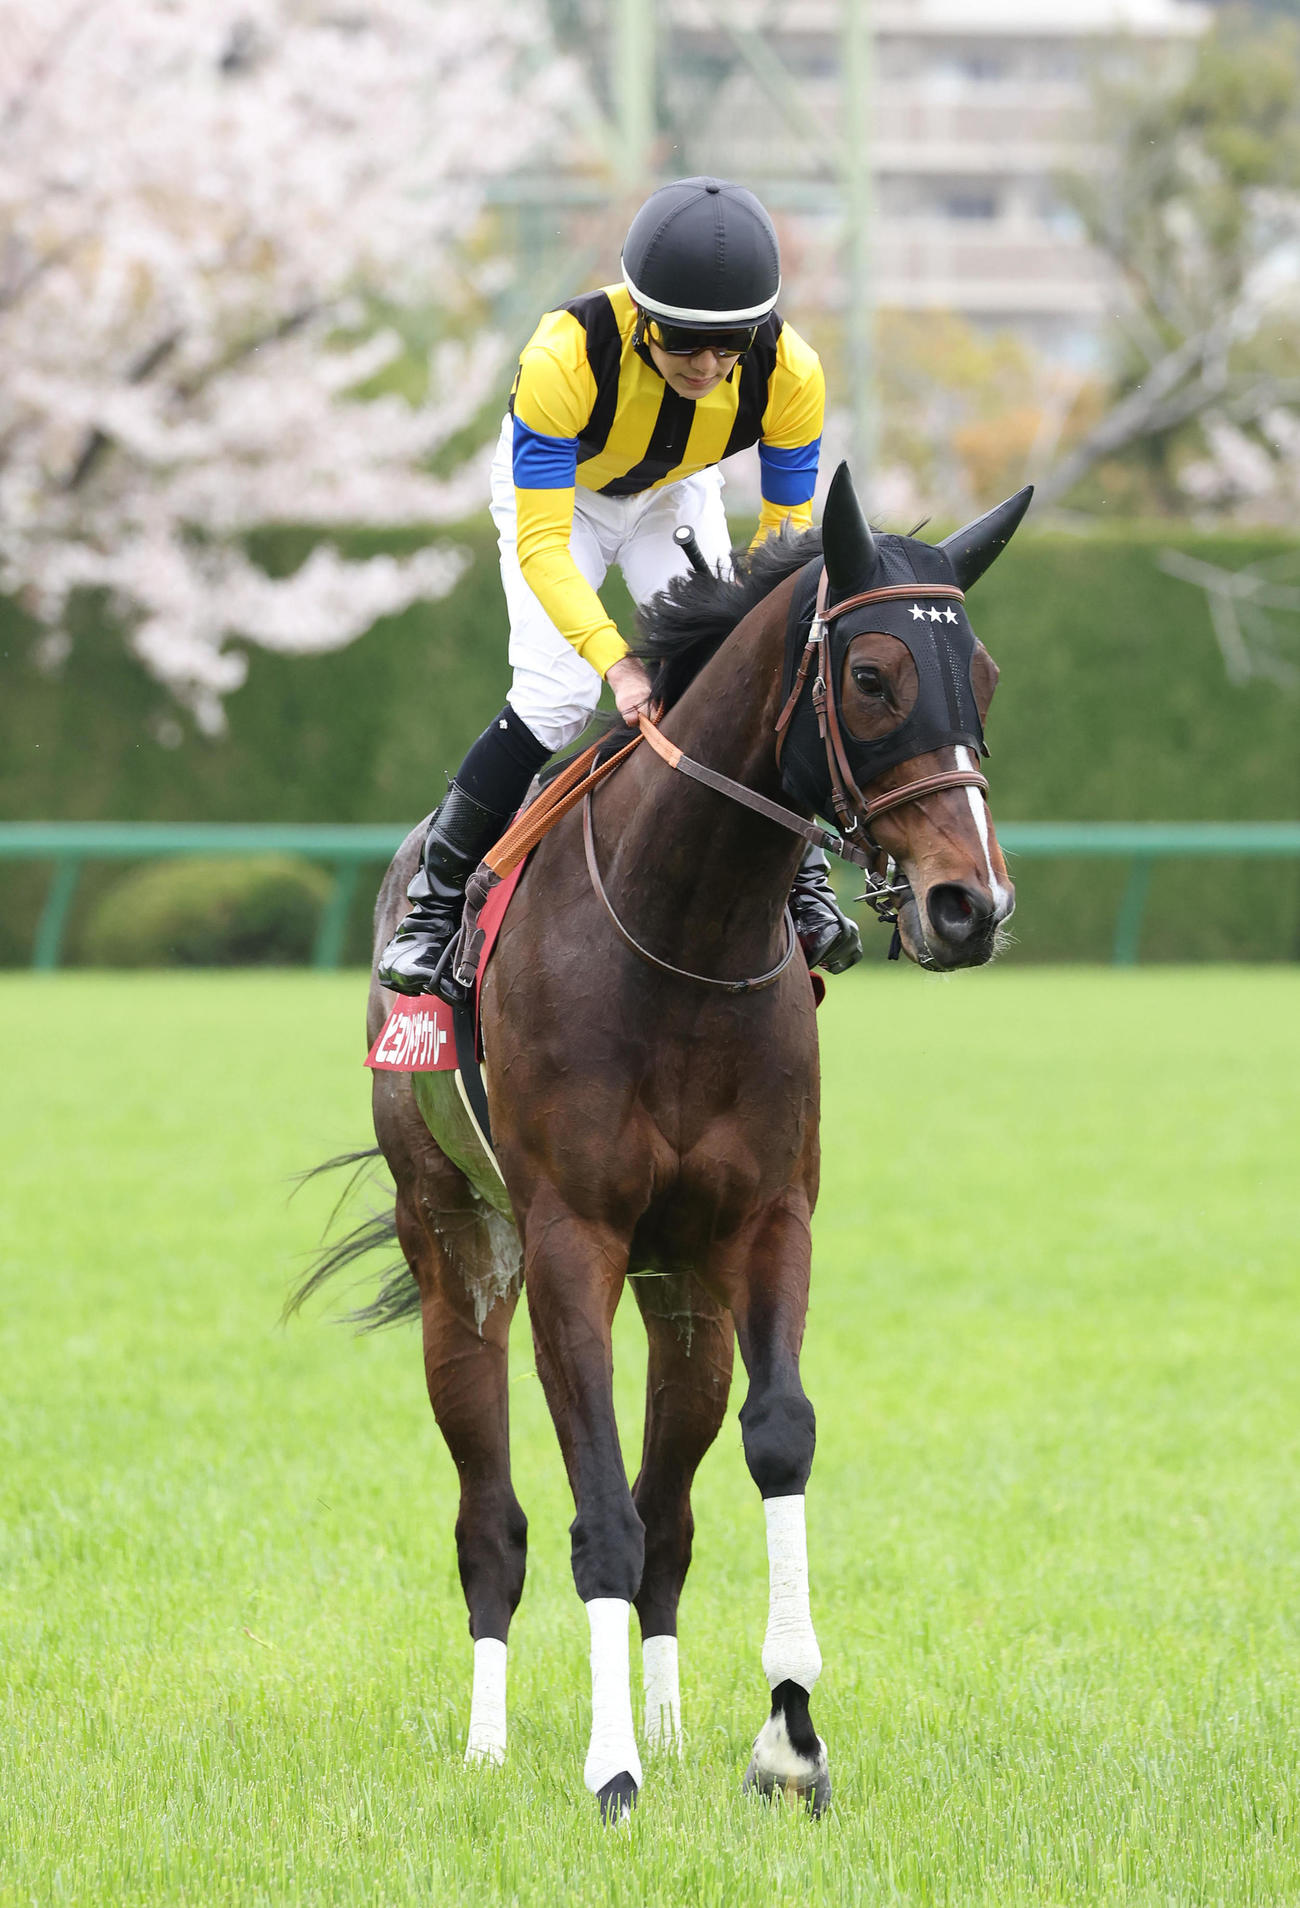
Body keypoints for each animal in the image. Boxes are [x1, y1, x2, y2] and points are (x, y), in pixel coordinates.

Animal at [295, 462, 1028, 1820]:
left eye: (985, 676)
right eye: (872, 676)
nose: (970, 905)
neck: (683, 926)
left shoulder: (764, 1221)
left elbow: (770, 1441)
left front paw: (784, 1738)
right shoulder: (567, 1239)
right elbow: (596, 1519)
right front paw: (612, 1768)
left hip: (681, 1290)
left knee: (671, 1510)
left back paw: (673, 1722)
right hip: (459, 1259)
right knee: (493, 1519)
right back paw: (491, 1743)